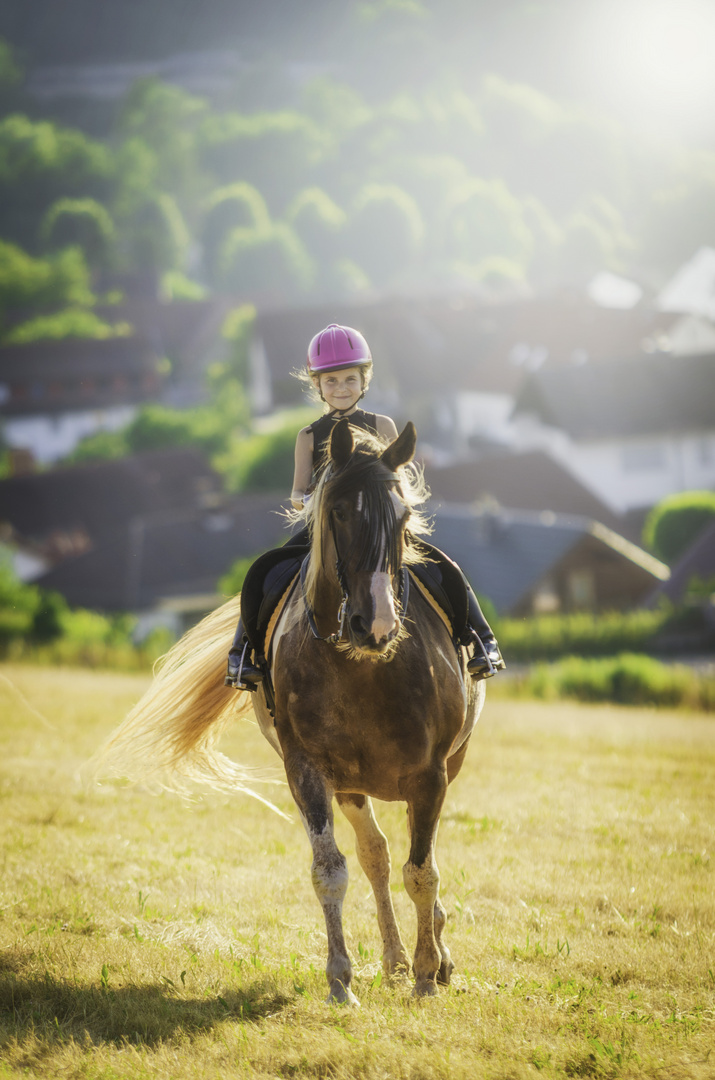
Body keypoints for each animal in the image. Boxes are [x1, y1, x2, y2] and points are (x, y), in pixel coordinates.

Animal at [93, 419, 488, 1002]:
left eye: (404, 518)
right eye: (338, 511)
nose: (375, 624)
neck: (364, 666)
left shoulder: (432, 774)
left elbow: (423, 873)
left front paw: (426, 977)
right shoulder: (307, 769)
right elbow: (332, 869)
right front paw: (342, 981)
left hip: (439, 770)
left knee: (413, 859)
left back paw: (430, 957)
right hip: (351, 785)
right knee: (375, 856)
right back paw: (393, 959)